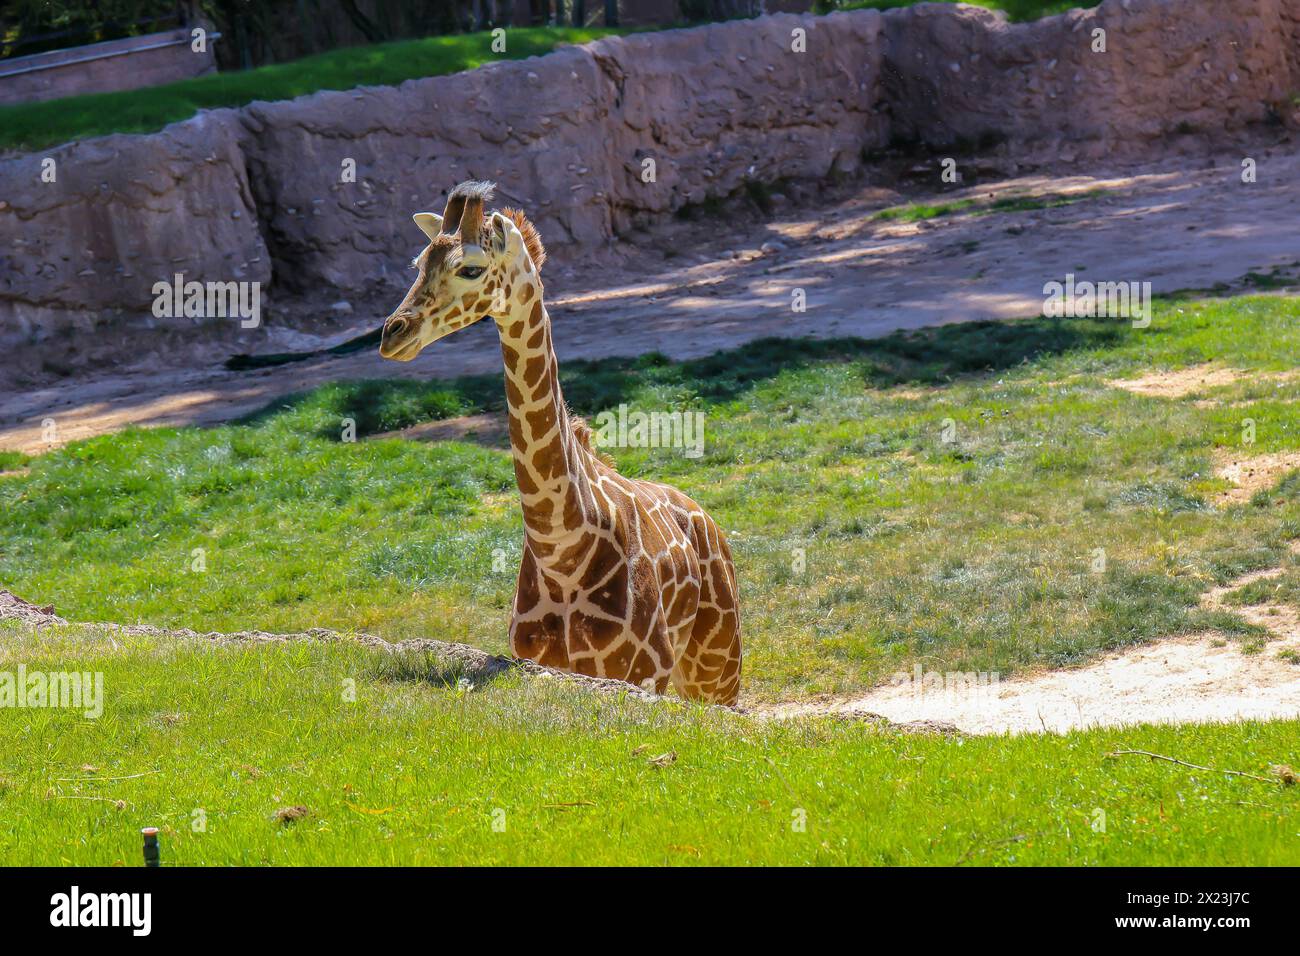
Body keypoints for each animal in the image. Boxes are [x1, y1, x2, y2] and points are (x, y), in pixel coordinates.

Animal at [378, 182, 742, 705]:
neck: (563, 551)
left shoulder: (639, 672)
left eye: (470, 269)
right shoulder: (541, 665)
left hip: (715, 663)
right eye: (419, 263)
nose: (393, 334)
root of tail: (704, 515)